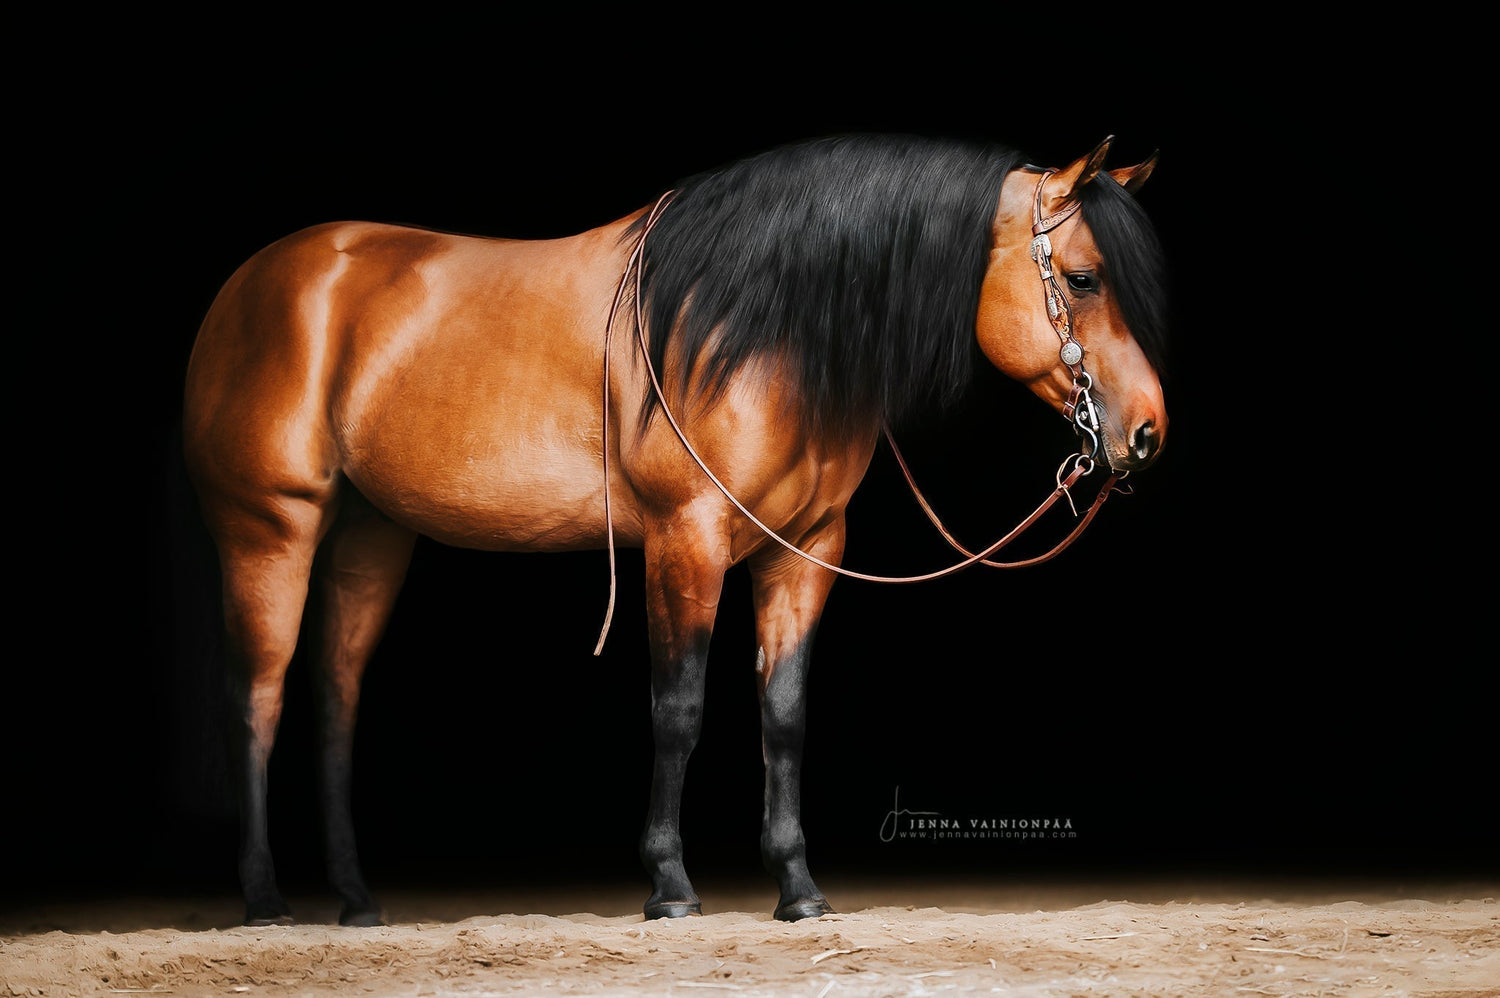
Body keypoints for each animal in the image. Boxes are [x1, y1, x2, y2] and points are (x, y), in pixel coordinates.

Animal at [182, 132, 1170, 927]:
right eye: (1083, 278)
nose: (1147, 433)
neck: (757, 326)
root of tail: (254, 284)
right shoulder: (684, 540)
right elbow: (680, 707)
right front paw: (669, 887)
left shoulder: (806, 552)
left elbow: (782, 712)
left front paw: (797, 889)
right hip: (270, 531)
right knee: (256, 699)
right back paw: (265, 900)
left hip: (370, 538)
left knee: (335, 701)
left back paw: (355, 900)